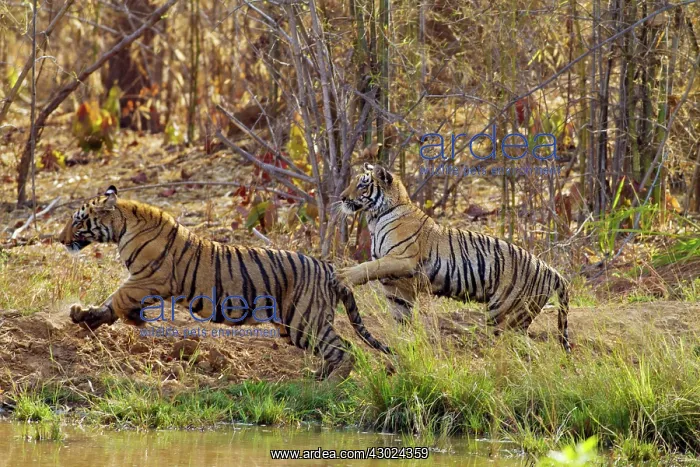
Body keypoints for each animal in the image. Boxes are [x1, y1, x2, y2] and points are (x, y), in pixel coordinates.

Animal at [57, 186, 391, 380]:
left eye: (77, 220)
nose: (59, 239)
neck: (122, 226)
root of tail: (328, 268)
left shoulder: (149, 278)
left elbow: (118, 297)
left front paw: (118, 319)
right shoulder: (146, 281)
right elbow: (115, 304)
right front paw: (91, 317)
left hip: (304, 320)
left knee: (345, 349)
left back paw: (329, 384)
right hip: (294, 325)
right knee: (337, 348)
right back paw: (319, 375)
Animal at [336, 163, 571, 351]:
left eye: (362, 185)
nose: (342, 197)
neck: (375, 217)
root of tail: (551, 270)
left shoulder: (402, 258)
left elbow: (369, 266)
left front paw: (344, 275)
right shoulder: (398, 287)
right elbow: (400, 318)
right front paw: (402, 346)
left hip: (507, 315)